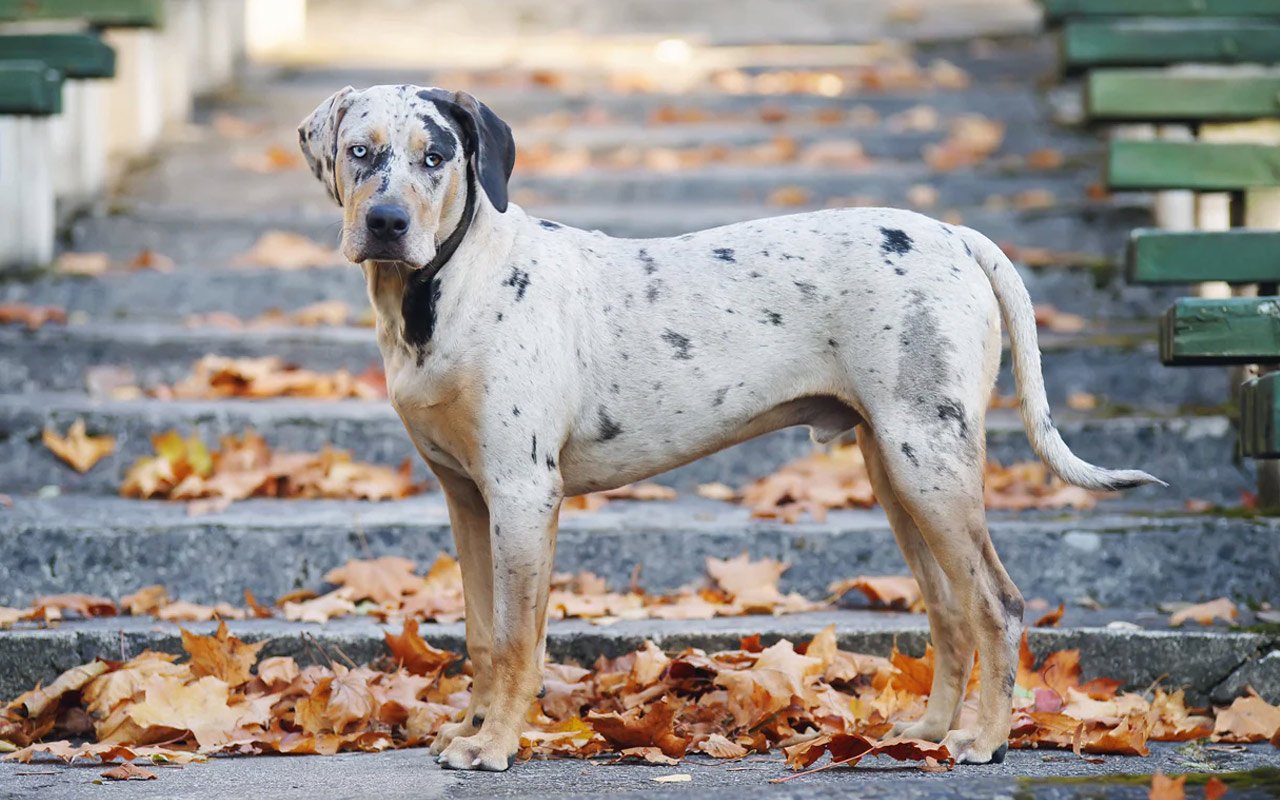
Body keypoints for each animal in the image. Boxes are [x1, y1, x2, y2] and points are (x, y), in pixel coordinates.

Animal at [296, 84, 1162, 773]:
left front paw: (495, 746)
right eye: (359, 152)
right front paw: (470, 730)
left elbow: (515, 641)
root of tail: (956, 236)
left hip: (930, 463)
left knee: (998, 604)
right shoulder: (467, 499)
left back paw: (984, 740)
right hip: (896, 468)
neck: (444, 289)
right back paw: (926, 730)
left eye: (436, 155)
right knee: (950, 610)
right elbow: (481, 634)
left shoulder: (520, 495)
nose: (385, 221)